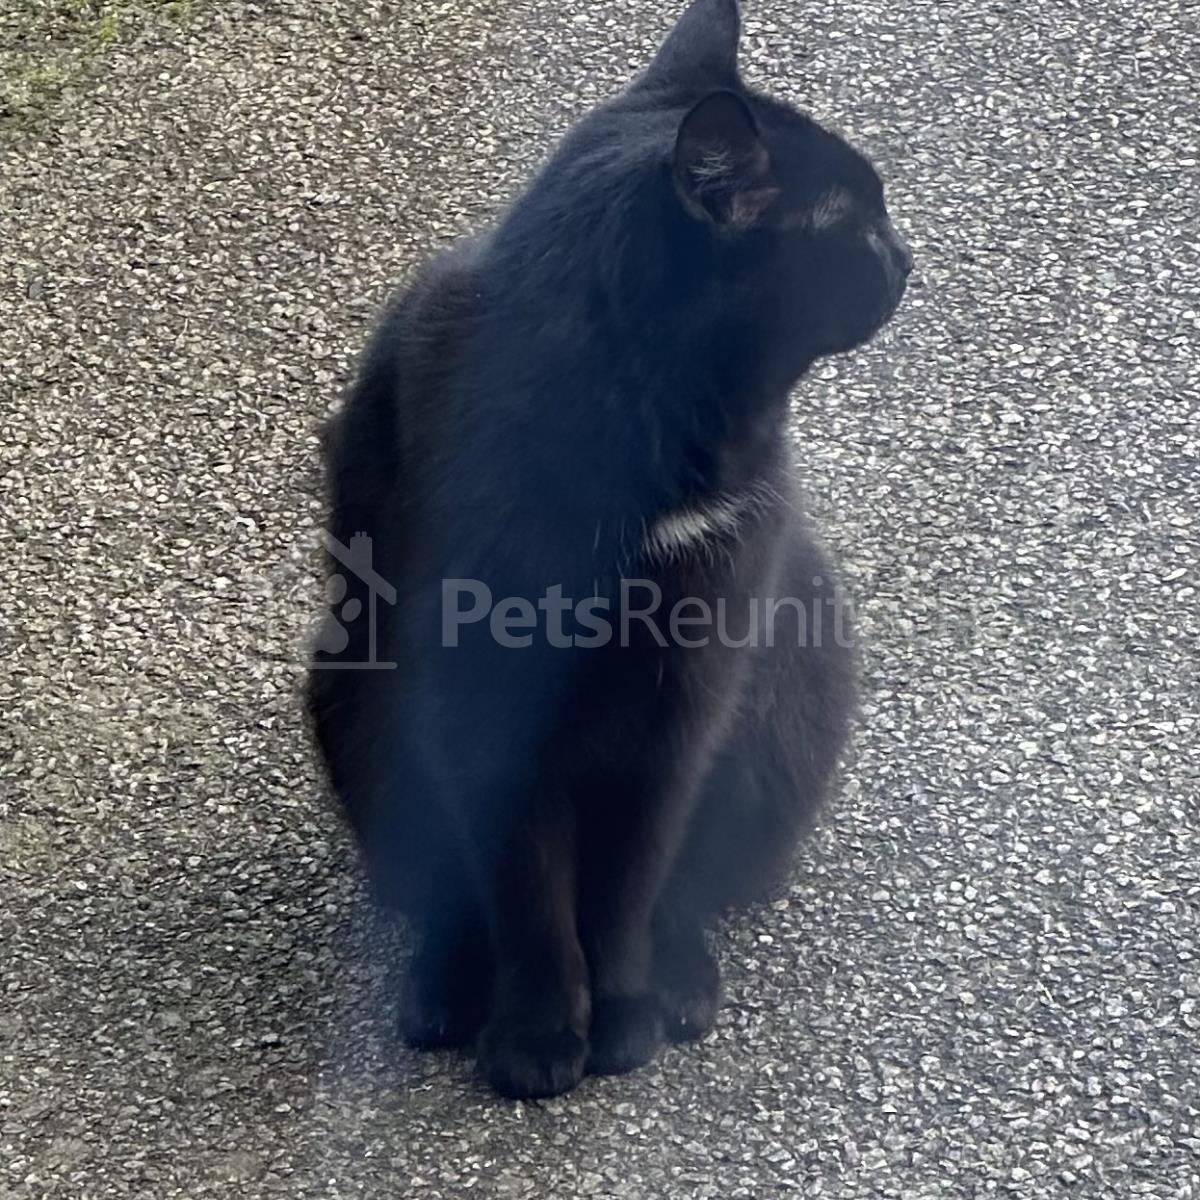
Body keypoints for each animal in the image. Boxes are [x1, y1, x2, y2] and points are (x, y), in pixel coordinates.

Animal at [308, 0, 911, 1099]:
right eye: (853, 220)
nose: (907, 256)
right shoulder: (484, 700)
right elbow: (527, 892)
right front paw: (542, 1035)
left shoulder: (686, 690)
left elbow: (631, 879)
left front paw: (622, 1018)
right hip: (352, 688)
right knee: (449, 891)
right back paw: (444, 992)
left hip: (793, 687)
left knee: (692, 882)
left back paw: (682, 984)